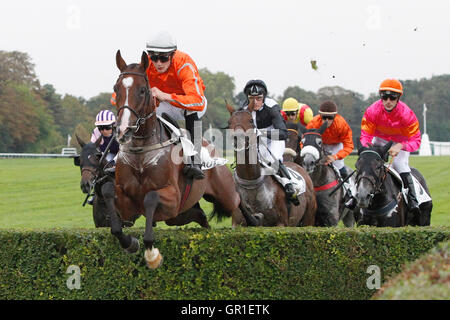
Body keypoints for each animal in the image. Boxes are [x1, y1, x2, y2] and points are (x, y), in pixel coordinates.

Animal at [112, 52, 246, 268]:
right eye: (116, 89)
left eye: (142, 90)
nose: (124, 131)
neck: (141, 152)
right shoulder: (127, 202)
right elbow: (111, 199)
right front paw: (130, 243)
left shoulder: (172, 197)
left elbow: (150, 197)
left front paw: (152, 254)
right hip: (179, 215)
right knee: (200, 216)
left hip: (224, 195)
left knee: (238, 201)